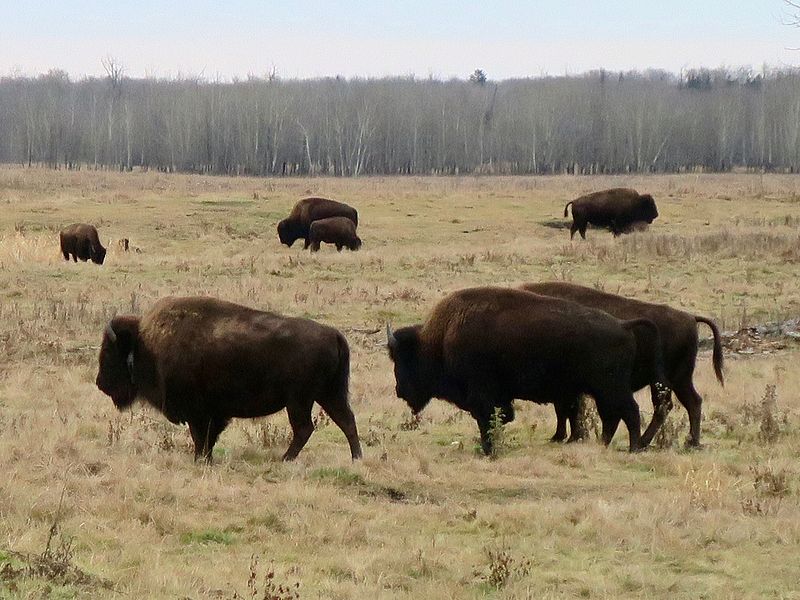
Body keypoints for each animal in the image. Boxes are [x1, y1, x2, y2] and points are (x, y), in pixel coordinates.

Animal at [94, 298, 366, 462]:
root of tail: (334, 334)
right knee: (346, 421)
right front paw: (205, 459)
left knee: (305, 428)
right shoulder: (212, 414)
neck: (144, 344)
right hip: (328, 394)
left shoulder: (199, 413)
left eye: (109, 353)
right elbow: (208, 438)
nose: (100, 383)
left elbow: (201, 436)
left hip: (300, 400)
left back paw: (285, 459)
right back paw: (356, 459)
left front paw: (200, 460)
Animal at [384, 288, 672, 454]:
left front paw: (487, 449)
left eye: (403, 360)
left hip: (611, 388)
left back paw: (634, 448)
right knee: (612, 416)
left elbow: (487, 419)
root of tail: (623, 325)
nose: (399, 391)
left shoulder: (483, 396)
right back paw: (605, 445)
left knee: (629, 412)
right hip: (602, 391)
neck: (440, 339)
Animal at [520, 282, 724, 446]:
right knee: (691, 402)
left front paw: (565, 437)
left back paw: (649, 442)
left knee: (669, 405)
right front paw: (562, 436)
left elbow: (567, 409)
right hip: (679, 379)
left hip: (670, 379)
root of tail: (690, 317)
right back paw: (689, 442)